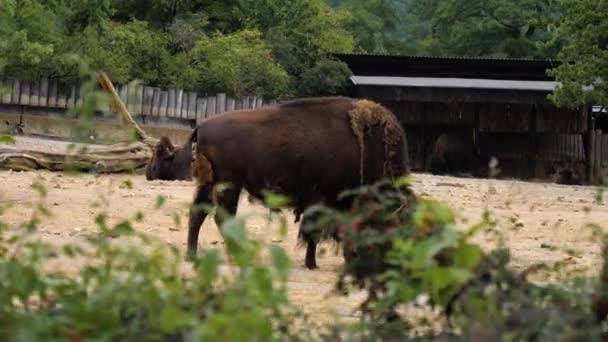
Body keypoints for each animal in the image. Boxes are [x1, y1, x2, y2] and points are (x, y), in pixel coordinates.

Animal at [185, 96, 410, 270]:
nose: (397, 263)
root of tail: (201, 126)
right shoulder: (321, 199)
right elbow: (314, 233)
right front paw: (312, 264)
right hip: (229, 184)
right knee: (222, 218)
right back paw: (239, 255)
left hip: (211, 184)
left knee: (198, 214)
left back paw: (192, 256)